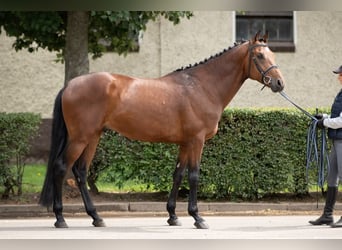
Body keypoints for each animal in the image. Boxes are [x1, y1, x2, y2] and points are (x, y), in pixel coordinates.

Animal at [39, 32, 286, 229]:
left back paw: (96, 217)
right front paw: (197, 217)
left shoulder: (185, 143)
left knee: (80, 172)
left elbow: (178, 175)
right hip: (80, 138)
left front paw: (173, 216)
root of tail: (70, 85)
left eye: (273, 55)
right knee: (61, 167)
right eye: (260, 56)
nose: (279, 83)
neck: (202, 86)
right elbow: (194, 175)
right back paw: (60, 218)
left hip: (92, 137)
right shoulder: (196, 141)